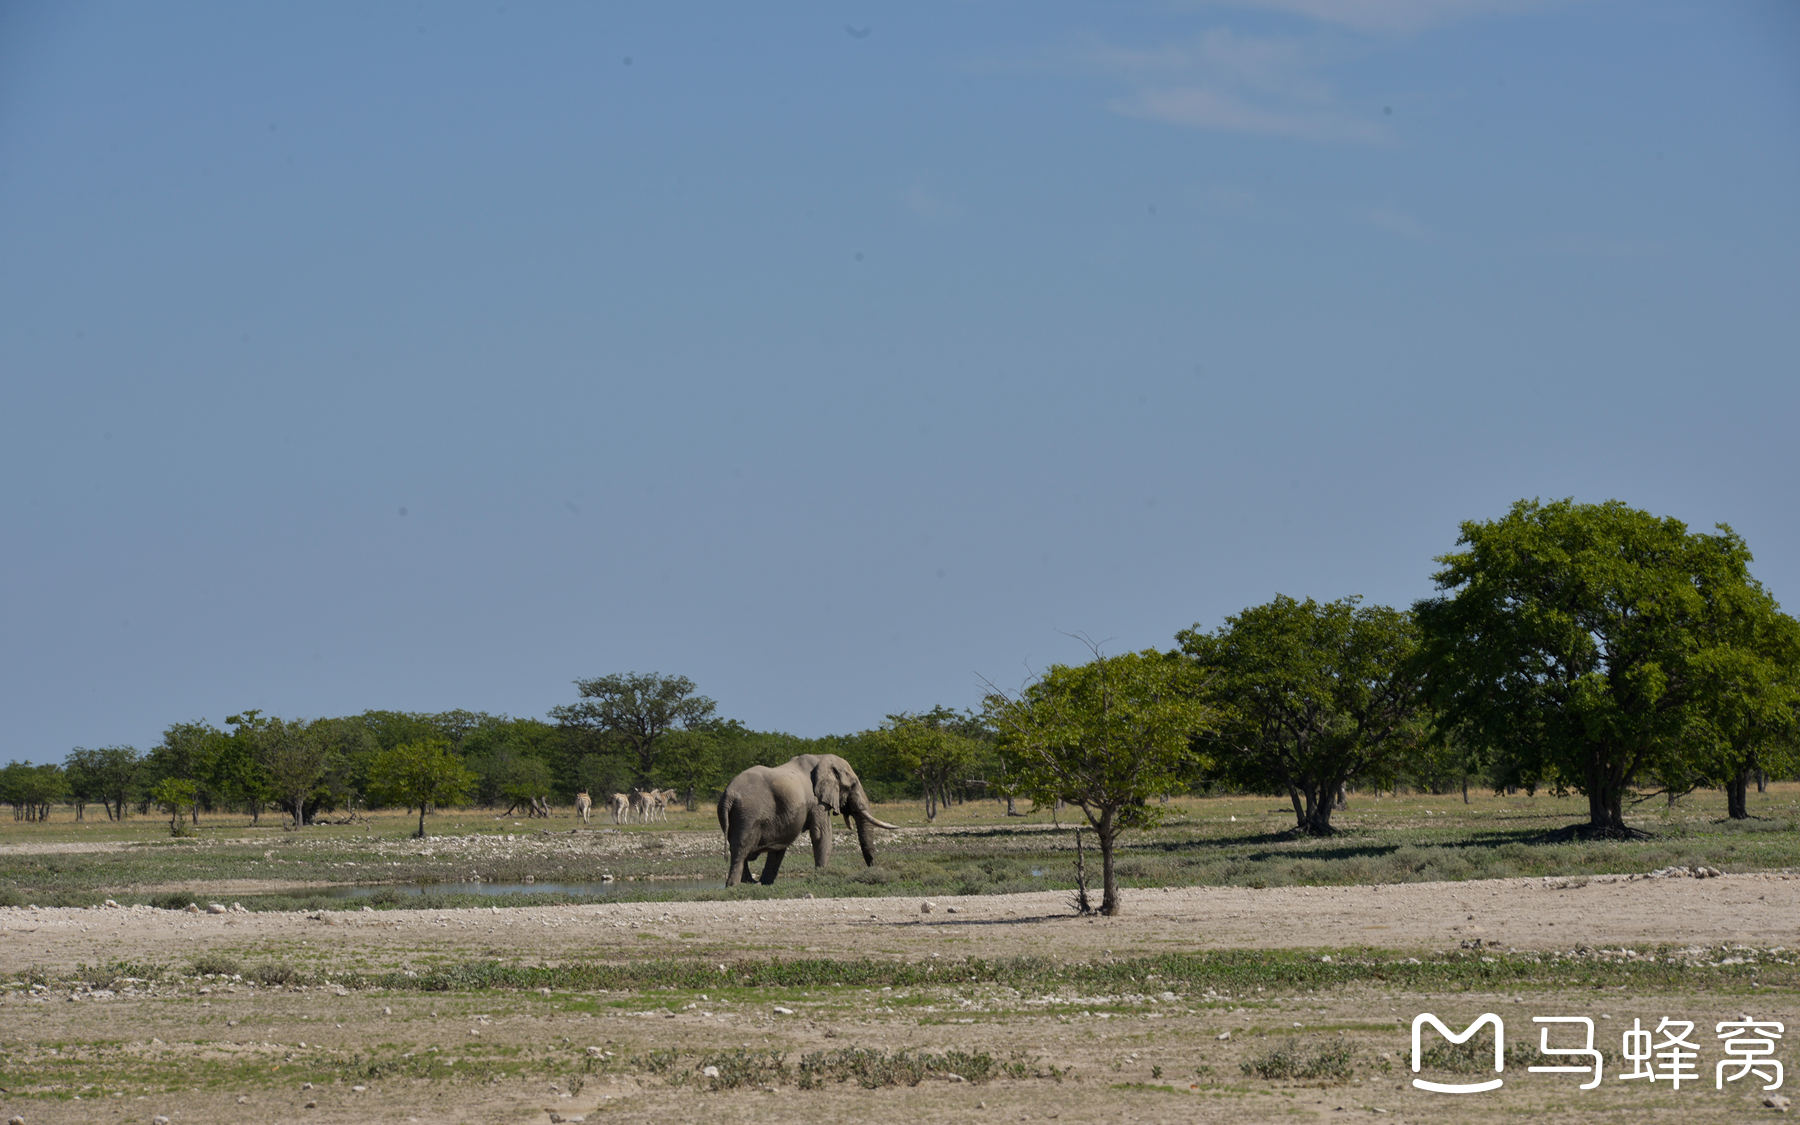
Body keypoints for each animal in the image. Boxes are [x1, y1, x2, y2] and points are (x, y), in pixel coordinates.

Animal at [716, 756, 900, 885]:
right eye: (852, 785)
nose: (874, 868)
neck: (822, 759)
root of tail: (728, 794)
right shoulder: (817, 801)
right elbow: (821, 834)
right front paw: (821, 877)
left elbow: (780, 847)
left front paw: (767, 883)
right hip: (748, 814)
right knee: (742, 849)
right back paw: (735, 886)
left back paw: (751, 883)